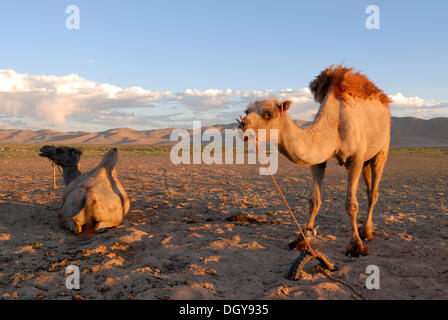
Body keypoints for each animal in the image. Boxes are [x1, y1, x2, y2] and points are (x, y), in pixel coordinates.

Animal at [240, 65, 390, 258]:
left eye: (269, 113)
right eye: (247, 111)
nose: (243, 125)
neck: (334, 127)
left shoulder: (355, 159)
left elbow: (351, 204)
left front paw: (356, 245)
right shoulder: (319, 161)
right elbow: (314, 201)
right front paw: (302, 239)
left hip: (382, 149)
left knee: (374, 193)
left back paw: (367, 232)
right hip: (366, 160)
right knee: (370, 188)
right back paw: (365, 229)